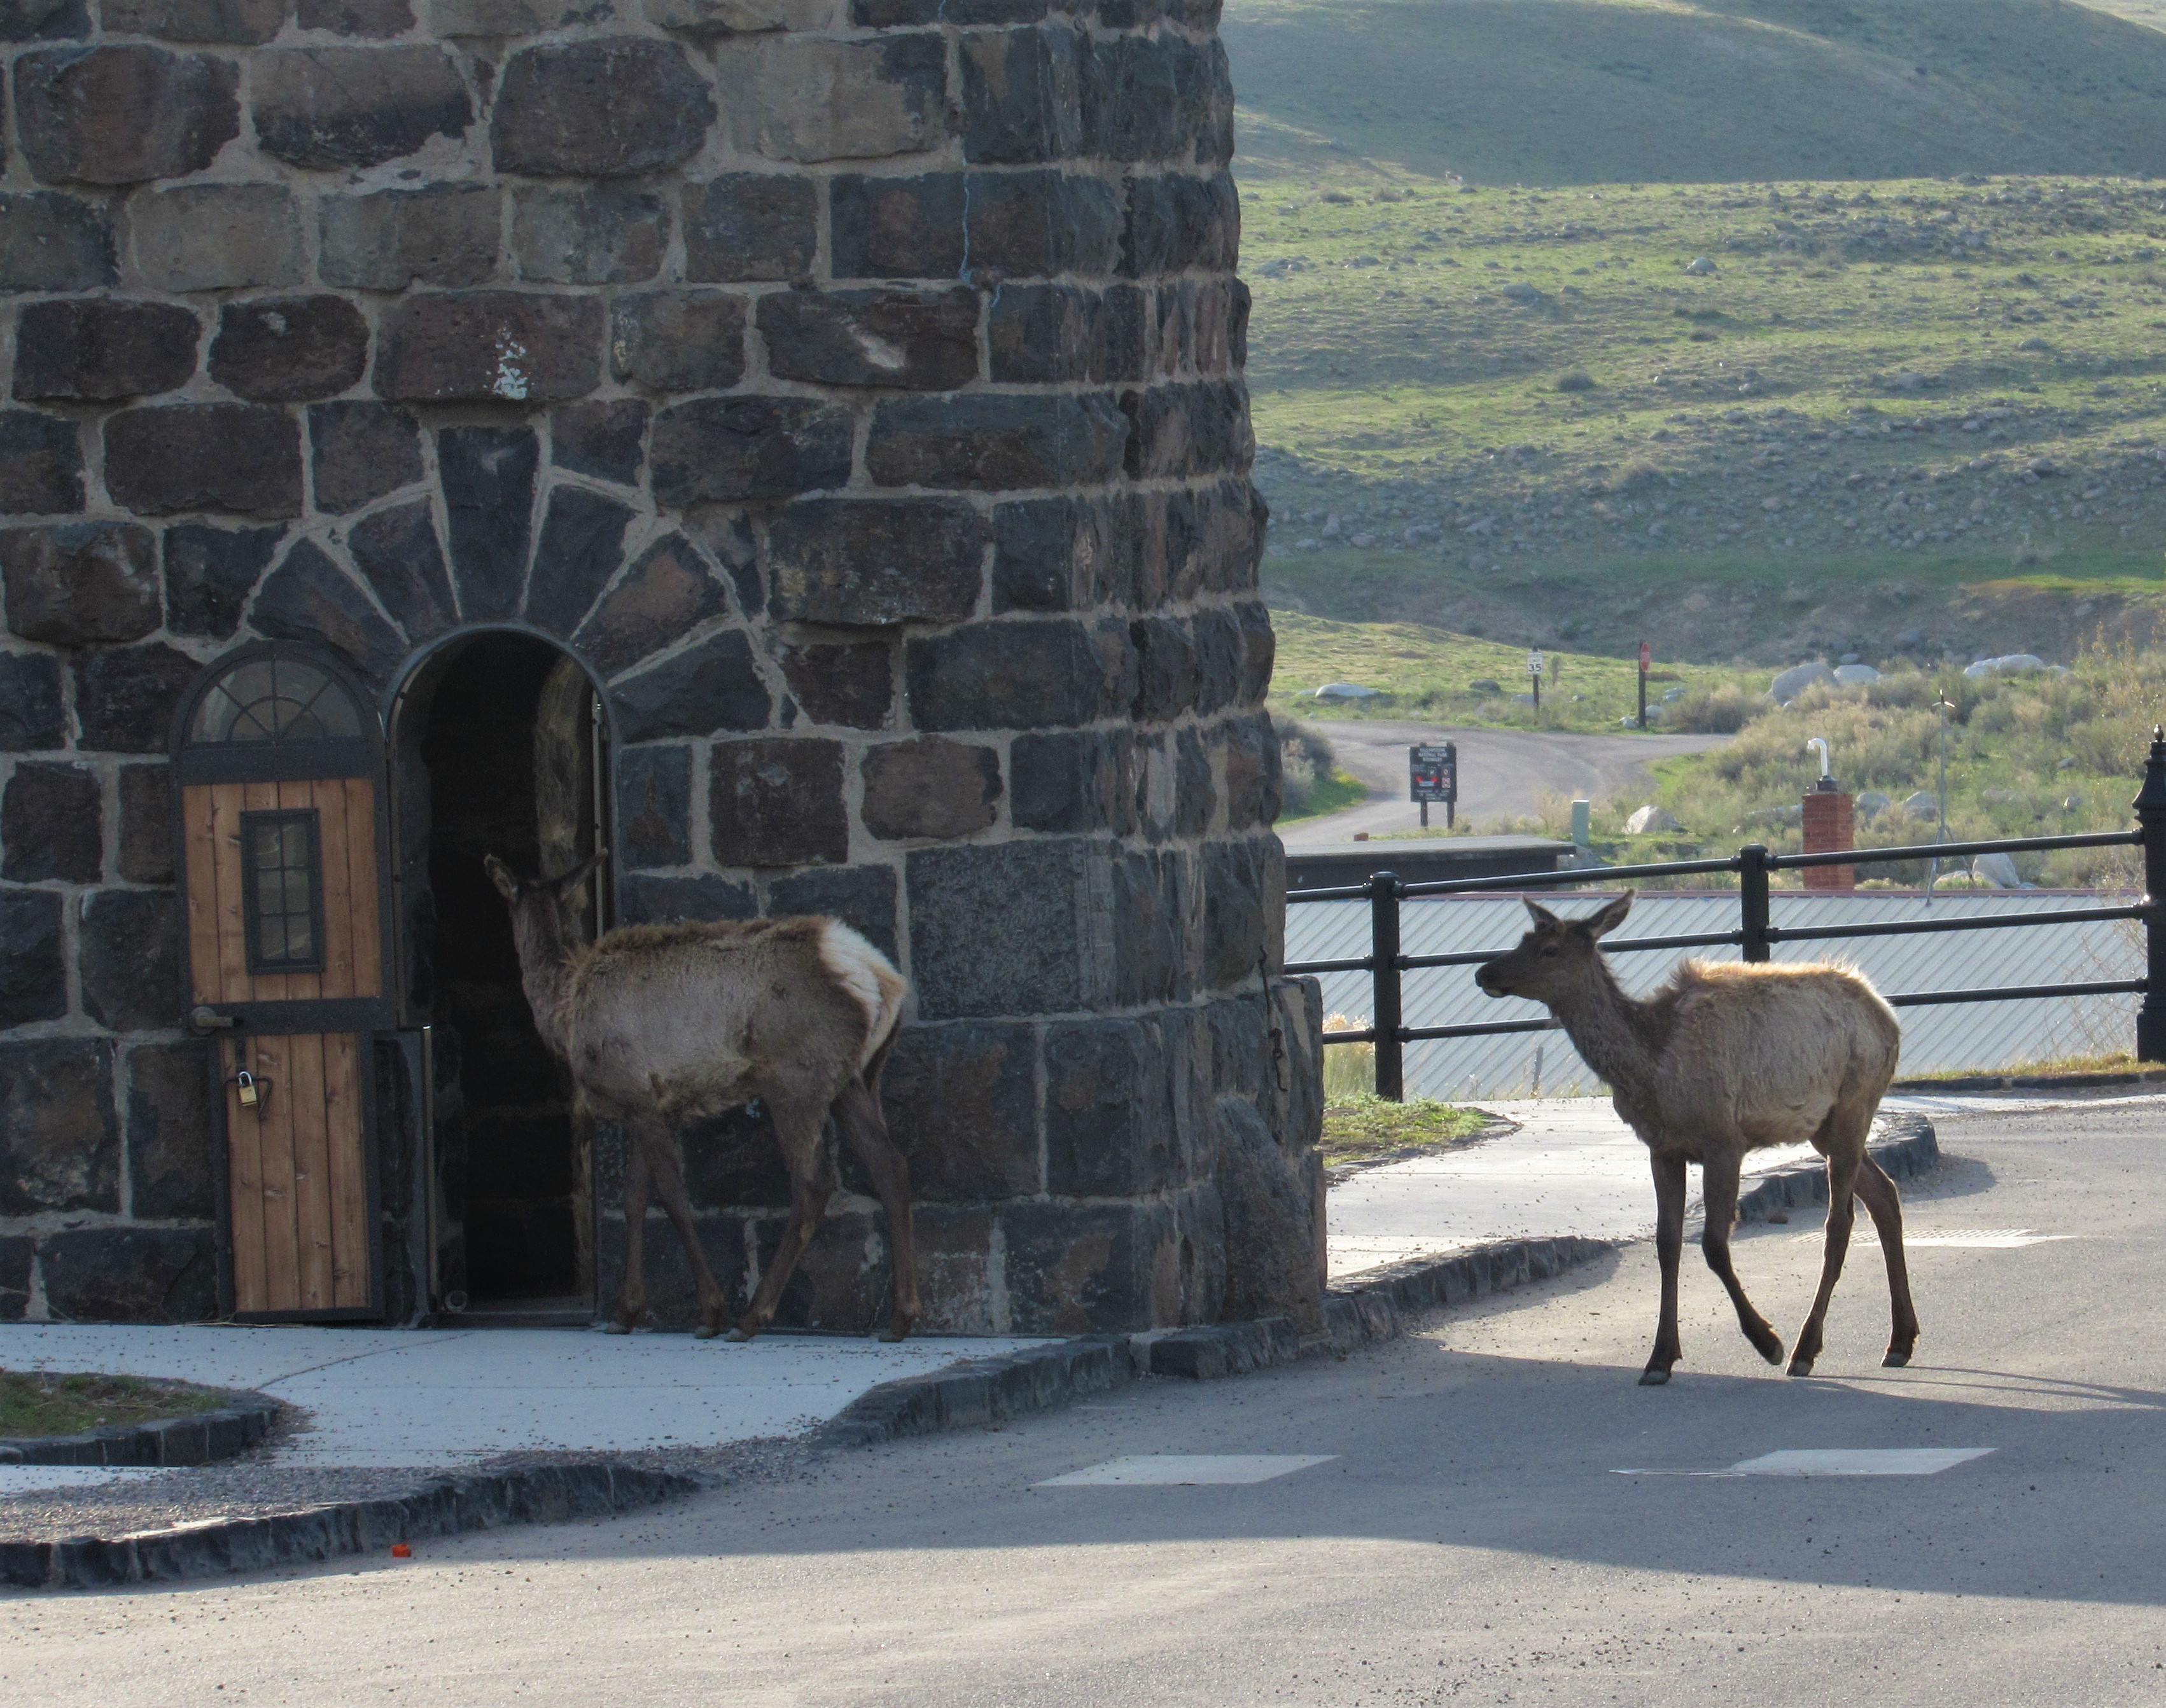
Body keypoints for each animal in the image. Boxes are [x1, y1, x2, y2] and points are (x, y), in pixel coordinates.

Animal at [487, 852, 918, 1342]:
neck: (565, 1013)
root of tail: (883, 979)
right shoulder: (651, 1104)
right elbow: (634, 1200)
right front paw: (625, 1312)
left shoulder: (635, 1093)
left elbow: (674, 1198)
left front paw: (710, 1312)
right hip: (855, 1079)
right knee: (890, 1165)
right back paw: (900, 1318)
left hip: (795, 1078)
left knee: (814, 1183)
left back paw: (751, 1317)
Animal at [1472, 892, 1915, 1385]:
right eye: (1523, 938)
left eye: (1550, 949)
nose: (1485, 973)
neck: (1652, 1070)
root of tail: (1889, 1017)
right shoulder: (1662, 1148)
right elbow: (1668, 1244)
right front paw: (1659, 1358)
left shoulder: (1724, 1141)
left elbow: (1714, 1245)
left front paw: (1767, 1341)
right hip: (1823, 1127)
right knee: (1884, 1193)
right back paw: (1900, 1340)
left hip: (1855, 1103)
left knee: (1840, 1222)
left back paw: (1805, 1348)